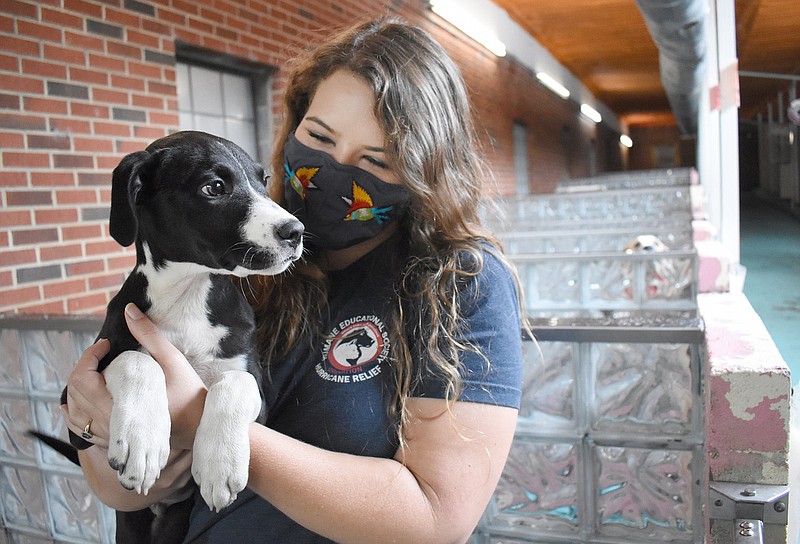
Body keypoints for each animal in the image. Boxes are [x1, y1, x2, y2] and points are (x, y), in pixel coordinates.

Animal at [34, 132, 304, 544]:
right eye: (214, 187)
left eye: (264, 180)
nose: (295, 232)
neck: (188, 295)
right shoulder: (74, 398)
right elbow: (136, 359)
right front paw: (142, 441)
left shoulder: (261, 400)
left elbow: (235, 382)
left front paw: (219, 463)